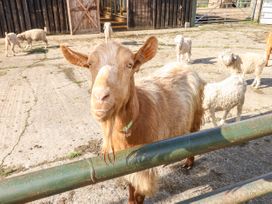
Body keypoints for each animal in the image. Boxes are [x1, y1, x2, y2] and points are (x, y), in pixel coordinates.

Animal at [60, 37, 205, 204]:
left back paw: (189, 163)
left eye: (129, 65)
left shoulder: (145, 165)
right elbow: (130, 185)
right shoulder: (125, 161)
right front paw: (130, 200)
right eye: (89, 64)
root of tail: (184, 66)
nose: (100, 98)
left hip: (196, 115)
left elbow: (140, 194)